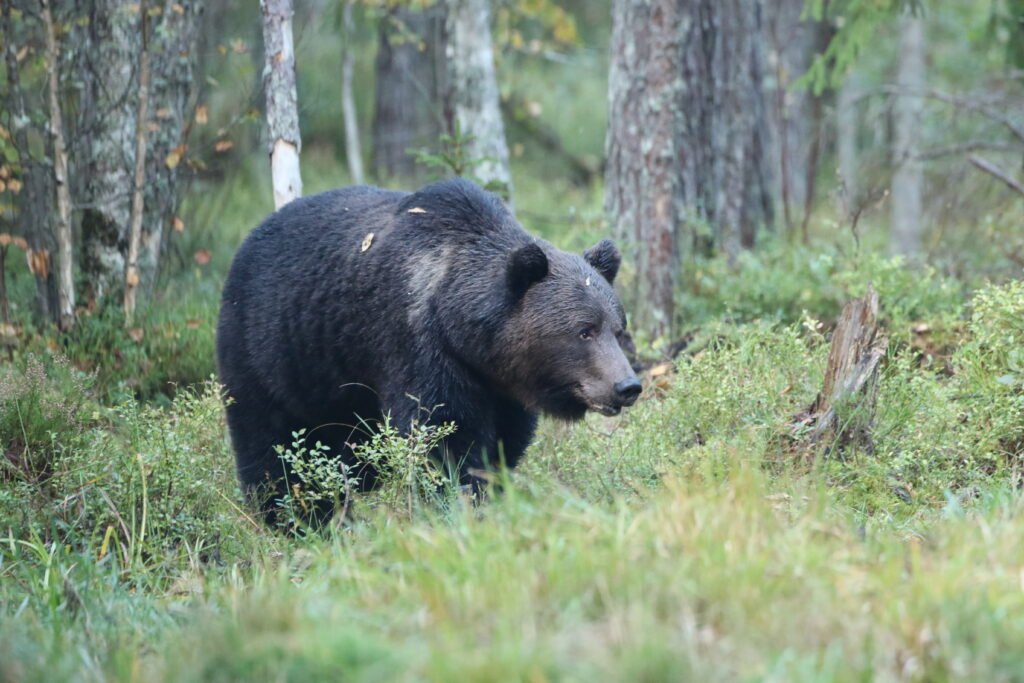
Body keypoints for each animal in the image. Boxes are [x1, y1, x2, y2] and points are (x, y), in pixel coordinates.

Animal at [216, 178, 641, 524]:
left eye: (618, 329)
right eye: (583, 331)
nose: (627, 386)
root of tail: (247, 243)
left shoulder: (499, 388)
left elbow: (504, 443)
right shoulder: (417, 346)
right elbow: (443, 435)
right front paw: (456, 501)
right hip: (272, 354)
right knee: (271, 445)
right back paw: (294, 516)